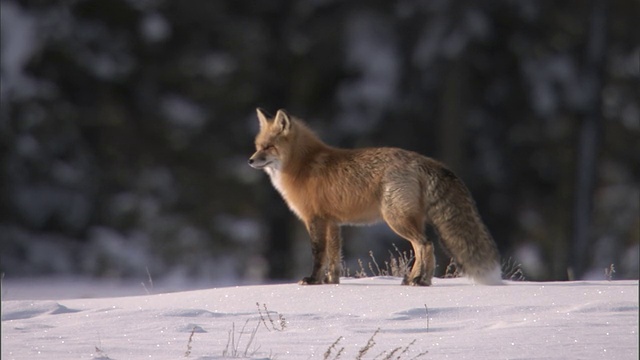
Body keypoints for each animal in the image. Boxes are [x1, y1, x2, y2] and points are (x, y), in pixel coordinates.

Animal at [248, 108, 502, 286]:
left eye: (268, 147)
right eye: (258, 146)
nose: (250, 161)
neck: (303, 165)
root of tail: (422, 159)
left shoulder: (315, 219)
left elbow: (318, 253)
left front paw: (312, 280)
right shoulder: (333, 222)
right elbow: (334, 257)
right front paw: (330, 283)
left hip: (396, 219)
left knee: (425, 244)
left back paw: (421, 281)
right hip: (407, 220)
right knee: (421, 247)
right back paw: (414, 280)